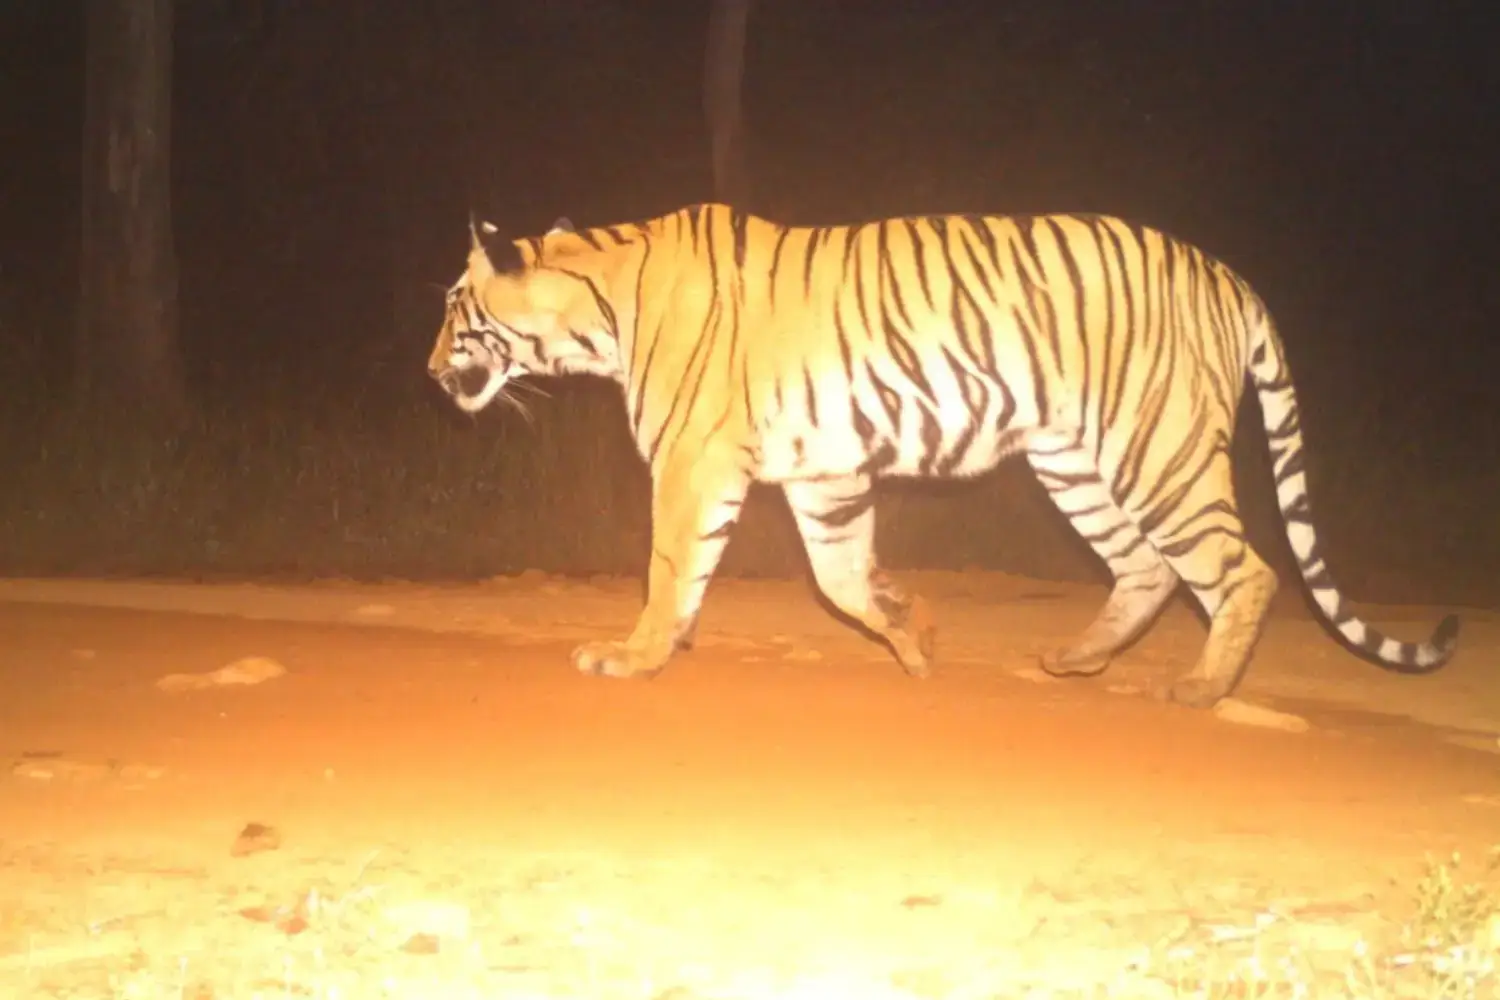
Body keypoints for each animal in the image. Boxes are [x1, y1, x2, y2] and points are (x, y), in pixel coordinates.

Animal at [427, 202, 1459, 708]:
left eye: (454, 309)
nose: (431, 370)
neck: (597, 306)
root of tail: (1232, 277)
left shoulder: (694, 460)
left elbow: (670, 572)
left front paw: (631, 659)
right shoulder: (826, 472)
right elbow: (842, 579)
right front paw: (915, 634)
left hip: (1154, 448)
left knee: (1241, 570)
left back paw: (1200, 687)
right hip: (1073, 462)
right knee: (1146, 569)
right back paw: (1075, 661)